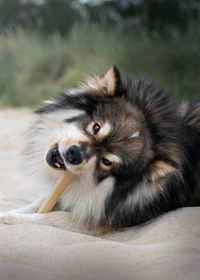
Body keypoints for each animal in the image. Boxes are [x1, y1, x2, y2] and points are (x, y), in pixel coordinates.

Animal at [0, 66, 199, 233]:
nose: (74, 154)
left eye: (106, 161)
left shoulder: (97, 220)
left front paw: (11, 219)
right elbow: (36, 204)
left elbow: (51, 217)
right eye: (96, 127)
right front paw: (8, 213)